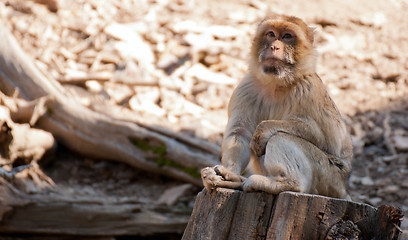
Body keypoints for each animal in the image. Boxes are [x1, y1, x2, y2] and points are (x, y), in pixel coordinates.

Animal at [202, 13, 352, 199]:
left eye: (287, 36)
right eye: (271, 34)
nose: (274, 46)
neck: (276, 83)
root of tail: (344, 190)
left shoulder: (308, 89)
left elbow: (321, 136)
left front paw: (263, 129)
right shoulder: (246, 87)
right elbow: (239, 134)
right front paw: (227, 173)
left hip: (330, 176)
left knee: (280, 137)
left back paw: (285, 183)